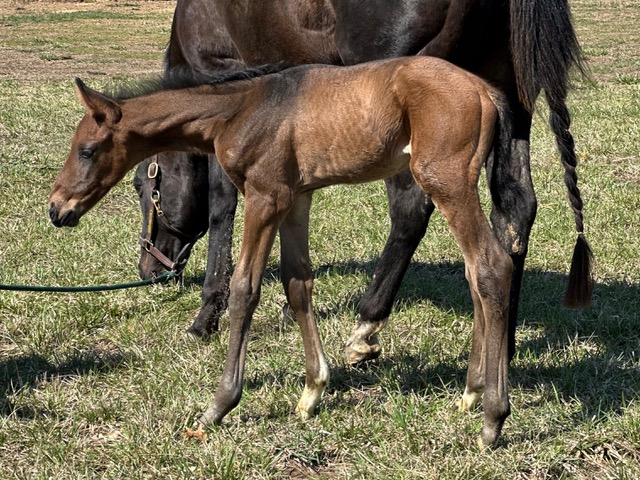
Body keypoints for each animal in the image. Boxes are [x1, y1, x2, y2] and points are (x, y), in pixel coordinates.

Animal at [48, 57, 544, 446]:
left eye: (87, 150)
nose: (56, 209)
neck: (241, 109)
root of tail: (485, 90)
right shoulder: (295, 198)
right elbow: (297, 282)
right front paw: (312, 391)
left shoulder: (264, 197)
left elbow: (245, 288)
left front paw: (219, 405)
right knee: (475, 272)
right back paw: (471, 392)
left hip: (444, 179)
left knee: (490, 265)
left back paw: (493, 418)